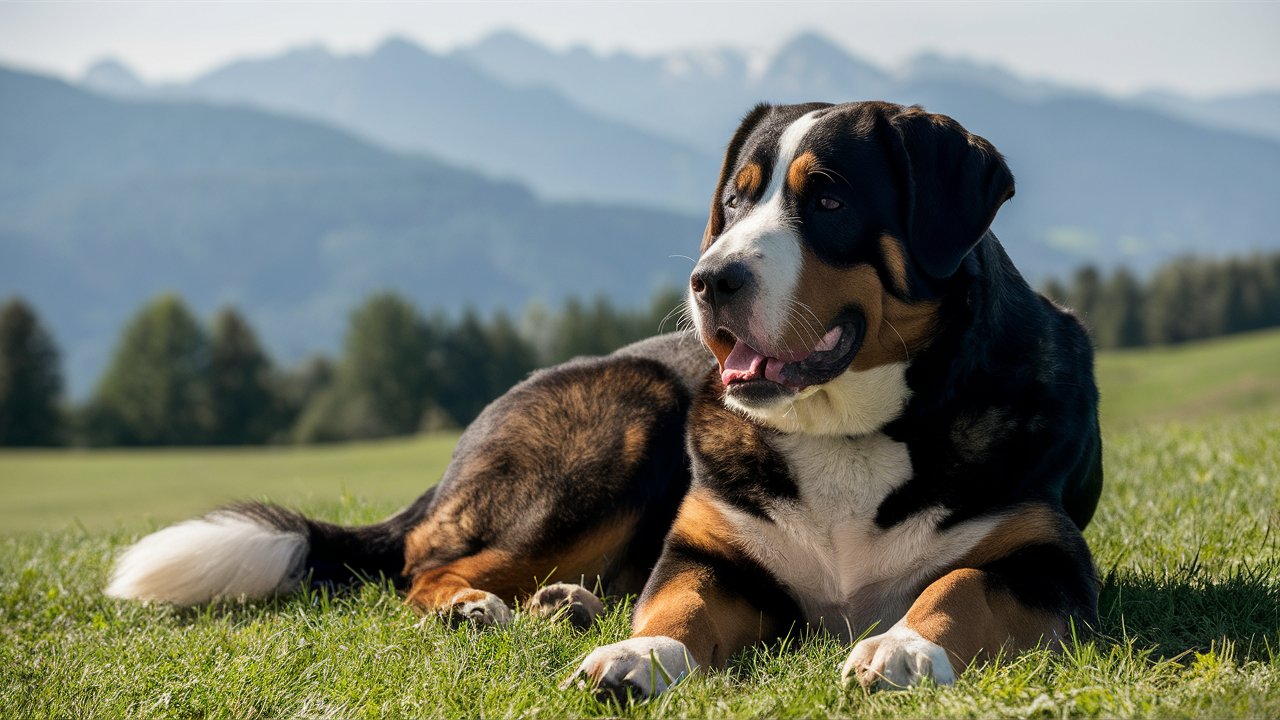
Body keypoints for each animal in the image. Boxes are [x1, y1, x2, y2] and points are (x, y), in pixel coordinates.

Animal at [104, 99, 1100, 696]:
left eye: (828, 199)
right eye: (734, 202)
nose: (711, 280)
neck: (844, 433)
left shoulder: (1046, 562)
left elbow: (960, 584)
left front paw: (902, 645)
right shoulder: (710, 554)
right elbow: (676, 605)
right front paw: (634, 653)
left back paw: (566, 604)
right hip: (624, 425)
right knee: (427, 566)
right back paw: (487, 607)